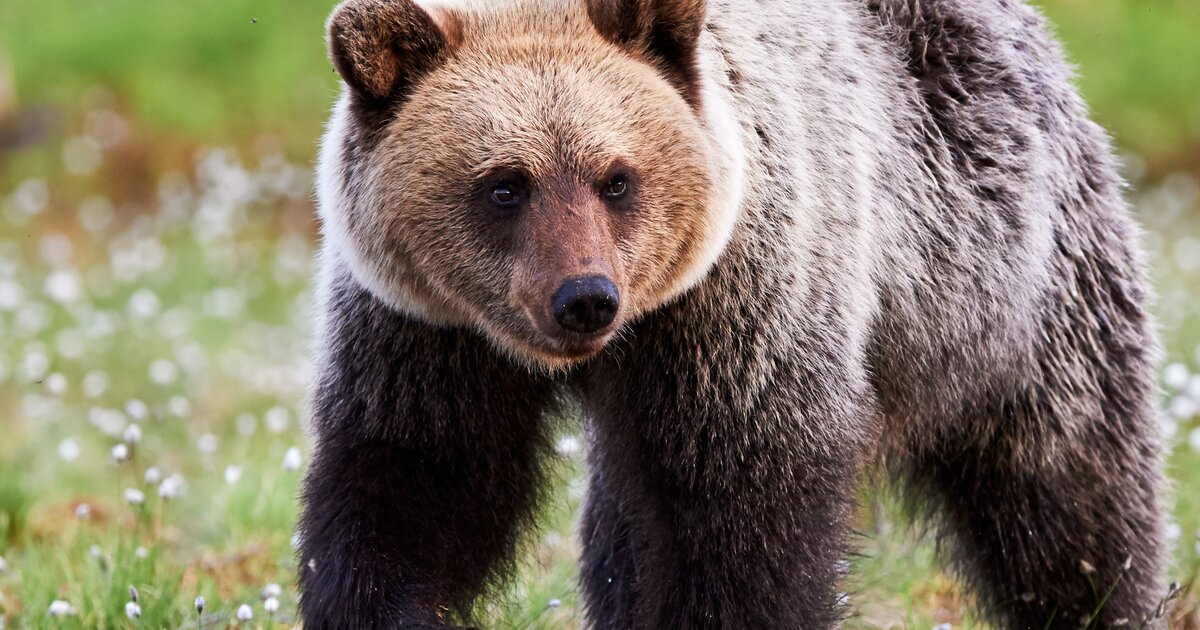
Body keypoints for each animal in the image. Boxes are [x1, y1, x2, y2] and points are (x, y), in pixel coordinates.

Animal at [295, 0, 1166, 624]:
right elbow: (414, 484)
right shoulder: (425, 331)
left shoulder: (738, 310)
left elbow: (742, 518)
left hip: (1007, 288)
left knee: (1066, 493)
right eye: (505, 184)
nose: (584, 298)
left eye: (617, 178)